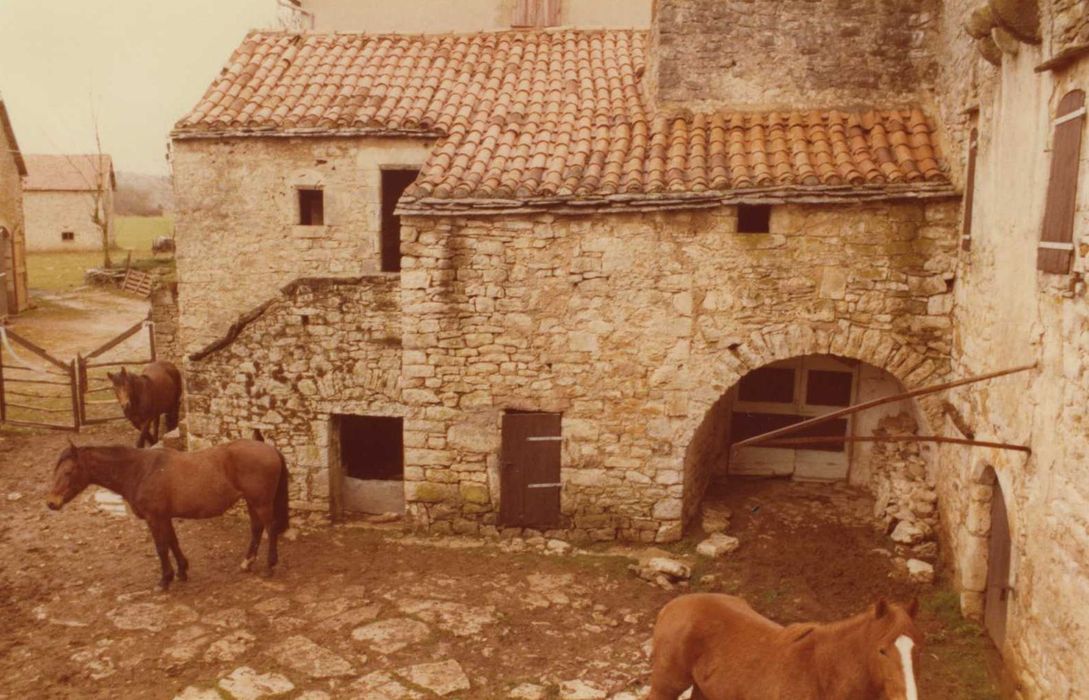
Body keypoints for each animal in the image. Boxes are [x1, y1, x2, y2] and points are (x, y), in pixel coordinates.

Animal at [46, 441, 289, 587]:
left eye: (68, 471)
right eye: (56, 470)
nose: (51, 503)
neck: (141, 470)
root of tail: (271, 449)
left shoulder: (155, 518)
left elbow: (162, 547)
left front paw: (165, 579)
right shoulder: (165, 517)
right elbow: (173, 542)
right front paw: (182, 571)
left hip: (261, 503)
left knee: (270, 528)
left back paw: (270, 565)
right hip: (252, 502)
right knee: (257, 528)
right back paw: (247, 563)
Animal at [649, 592, 923, 700]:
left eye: (916, 649)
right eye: (882, 650)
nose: (908, 697)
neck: (822, 676)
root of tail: (671, 606)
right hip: (666, 687)